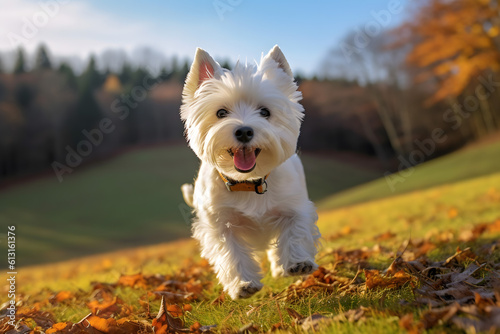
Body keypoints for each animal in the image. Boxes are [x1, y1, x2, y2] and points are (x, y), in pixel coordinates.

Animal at [180, 45, 320, 298]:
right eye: (221, 112)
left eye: (265, 112)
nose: (244, 131)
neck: (248, 182)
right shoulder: (220, 224)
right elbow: (231, 252)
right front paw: (243, 284)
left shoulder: (294, 208)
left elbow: (296, 231)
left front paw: (298, 262)